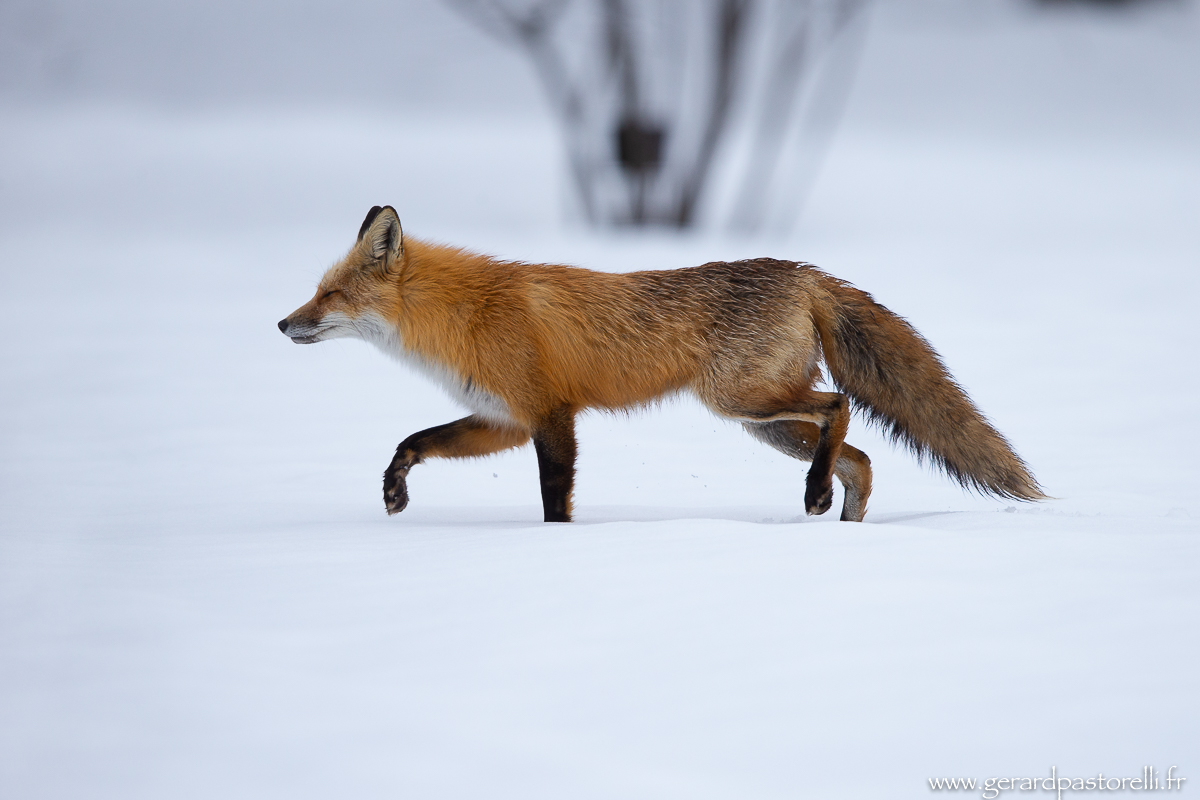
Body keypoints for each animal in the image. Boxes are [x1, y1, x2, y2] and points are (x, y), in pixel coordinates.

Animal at [278, 205, 1044, 523]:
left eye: (329, 295)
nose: (283, 324)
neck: (467, 313)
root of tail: (802, 271)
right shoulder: (504, 419)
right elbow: (412, 441)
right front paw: (394, 490)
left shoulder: (551, 416)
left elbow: (554, 502)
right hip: (765, 424)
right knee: (860, 459)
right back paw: (835, 516)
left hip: (743, 401)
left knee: (841, 406)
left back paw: (815, 497)